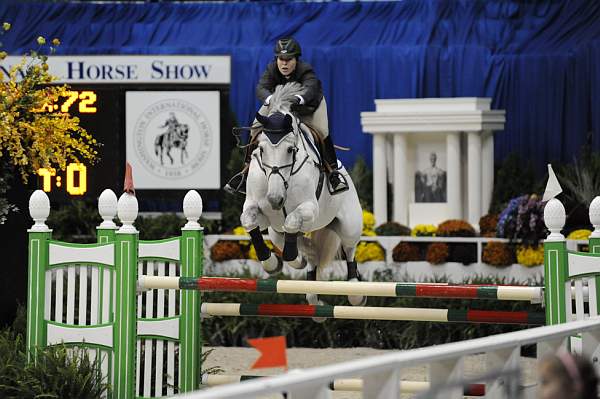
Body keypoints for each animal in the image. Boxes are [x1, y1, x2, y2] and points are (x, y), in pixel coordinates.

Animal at [240, 81, 366, 306]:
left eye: (290, 150)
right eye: (261, 150)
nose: (275, 200)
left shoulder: (309, 208)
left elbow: (291, 220)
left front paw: (289, 256)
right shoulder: (259, 211)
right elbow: (249, 221)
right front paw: (272, 263)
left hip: (349, 225)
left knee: (350, 249)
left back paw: (355, 292)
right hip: (277, 231)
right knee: (308, 250)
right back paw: (310, 285)